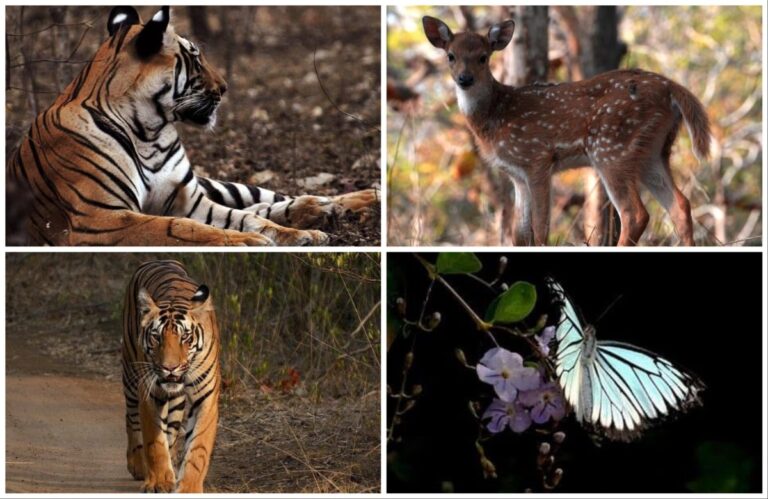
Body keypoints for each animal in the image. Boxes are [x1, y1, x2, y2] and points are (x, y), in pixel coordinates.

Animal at [8, 6, 379, 246]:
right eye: (195, 59)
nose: (225, 87)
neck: (148, 131)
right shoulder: (99, 219)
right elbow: (177, 228)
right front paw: (249, 242)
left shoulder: (190, 200)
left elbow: (246, 218)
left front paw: (298, 236)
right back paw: (317, 209)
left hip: (214, 185)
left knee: (267, 199)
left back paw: (348, 201)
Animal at [122, 260, 220, 492]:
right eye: (156, 337)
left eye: (185, 337)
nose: (170, 368)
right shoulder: (149, 392)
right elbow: (154, 442)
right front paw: (159, 482)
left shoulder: (206, 398)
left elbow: (198, 449)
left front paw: (189, 487)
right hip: (130, 374)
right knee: (131, 418)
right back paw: (138, 465)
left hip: (176, 402)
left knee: (172, 431)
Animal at [422, 16, 711, 246]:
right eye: (451, 56)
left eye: (483, 57)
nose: (465, 79)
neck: (495, 116)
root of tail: (672, 88)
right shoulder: (517, 175)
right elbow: (519, 234)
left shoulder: (536, 158)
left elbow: (540, 228)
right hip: (653, 151)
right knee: (680, 205)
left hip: (612, 147)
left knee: (635, 214)